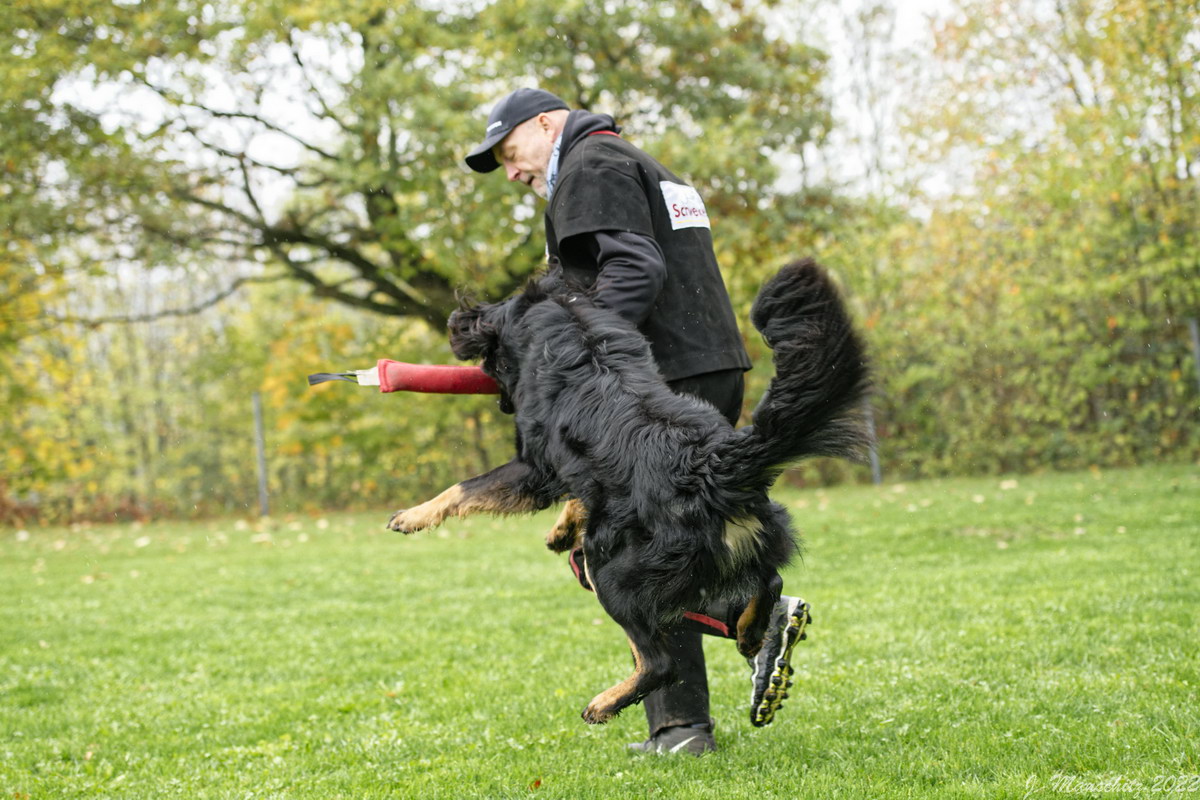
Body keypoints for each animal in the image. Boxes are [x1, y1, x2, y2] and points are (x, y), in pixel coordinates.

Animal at [388, 261, 868, 724]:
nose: (503, 403)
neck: (571, 325)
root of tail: (708, 464)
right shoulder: (580, 473)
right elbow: (579, 493)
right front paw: (561, 529)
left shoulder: (533, 468)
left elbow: (463, 488)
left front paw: (412, 515)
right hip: (741, 543)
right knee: (770, 579)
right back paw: (753, 633)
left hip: (611, 571)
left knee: (660, 663)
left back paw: (606, 703)